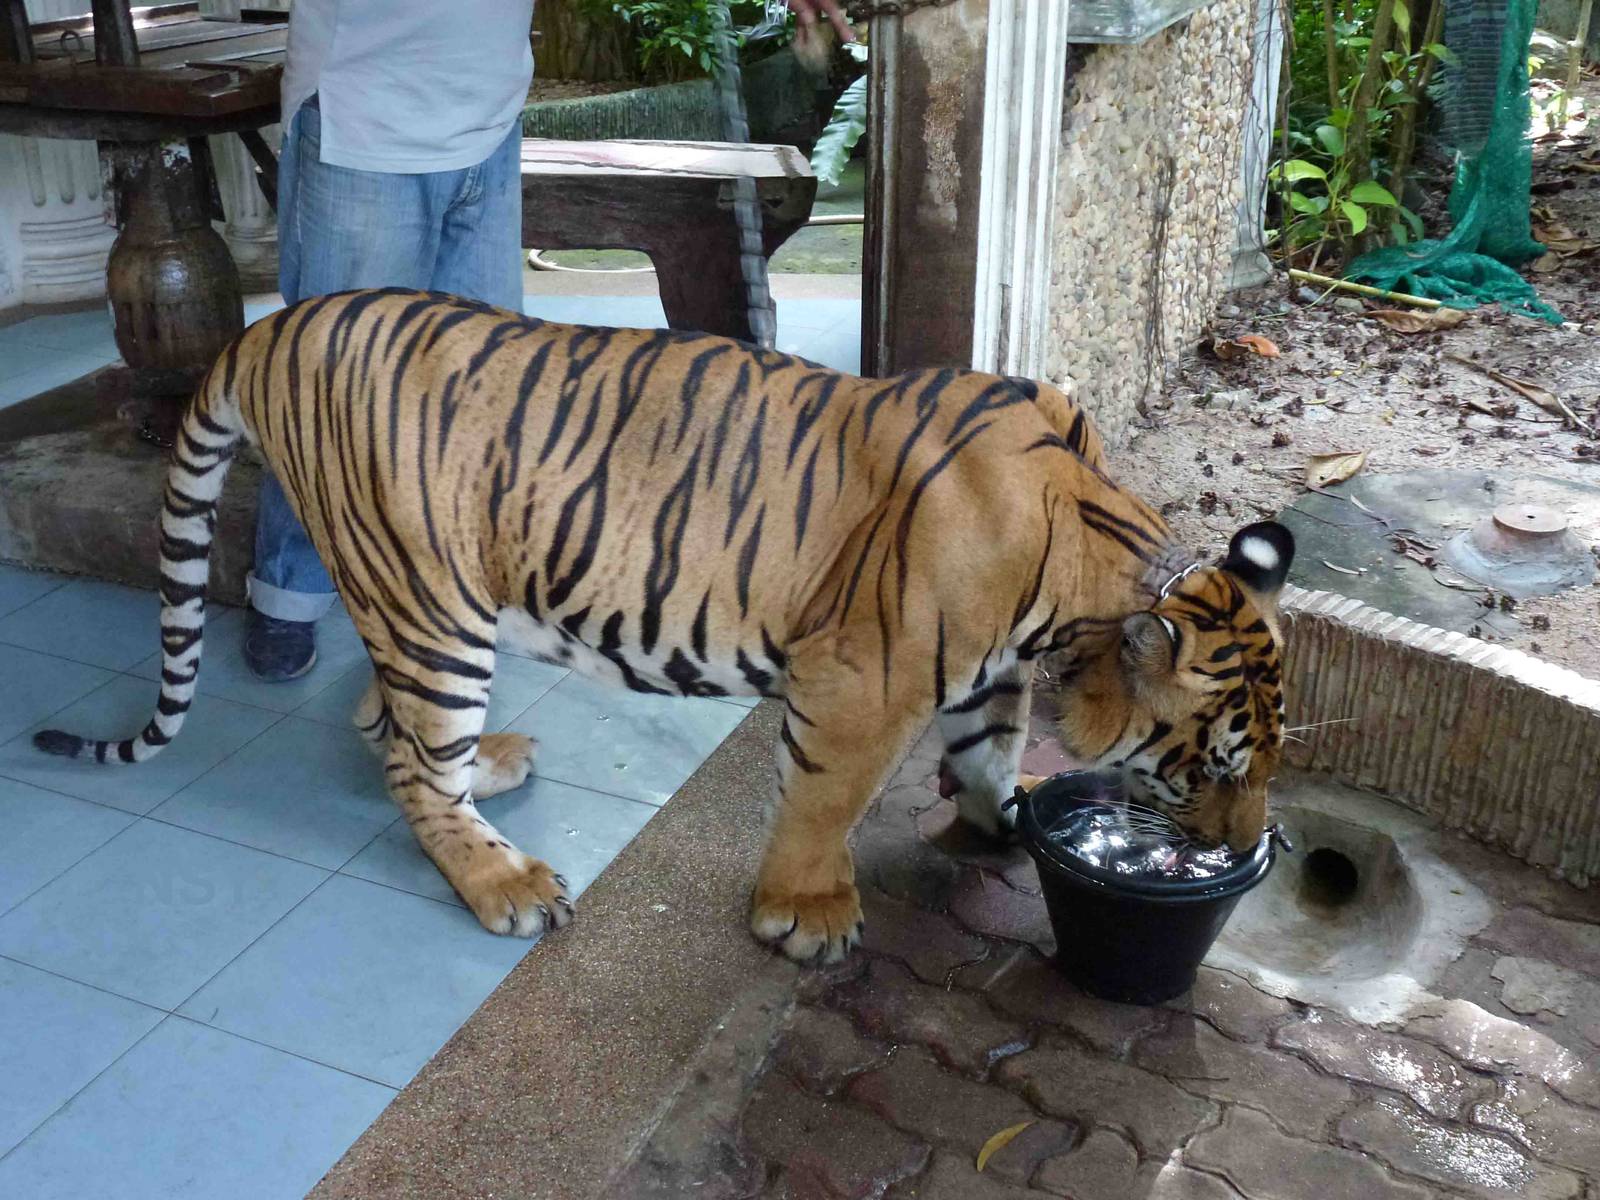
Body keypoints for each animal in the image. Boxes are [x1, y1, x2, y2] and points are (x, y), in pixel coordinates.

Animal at [36, 288, 1295, 963]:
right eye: (1214, 765)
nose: (1246, 850)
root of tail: (273, 324)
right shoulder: (860, 681)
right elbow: (824, 803)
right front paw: (804, 914)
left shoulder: (984, 675)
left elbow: (988, 749)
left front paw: (999, 820)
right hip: (431, 602)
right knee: (408, 763)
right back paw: (504, 882)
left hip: (410, 604)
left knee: (381, 725)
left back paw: (488, 767)